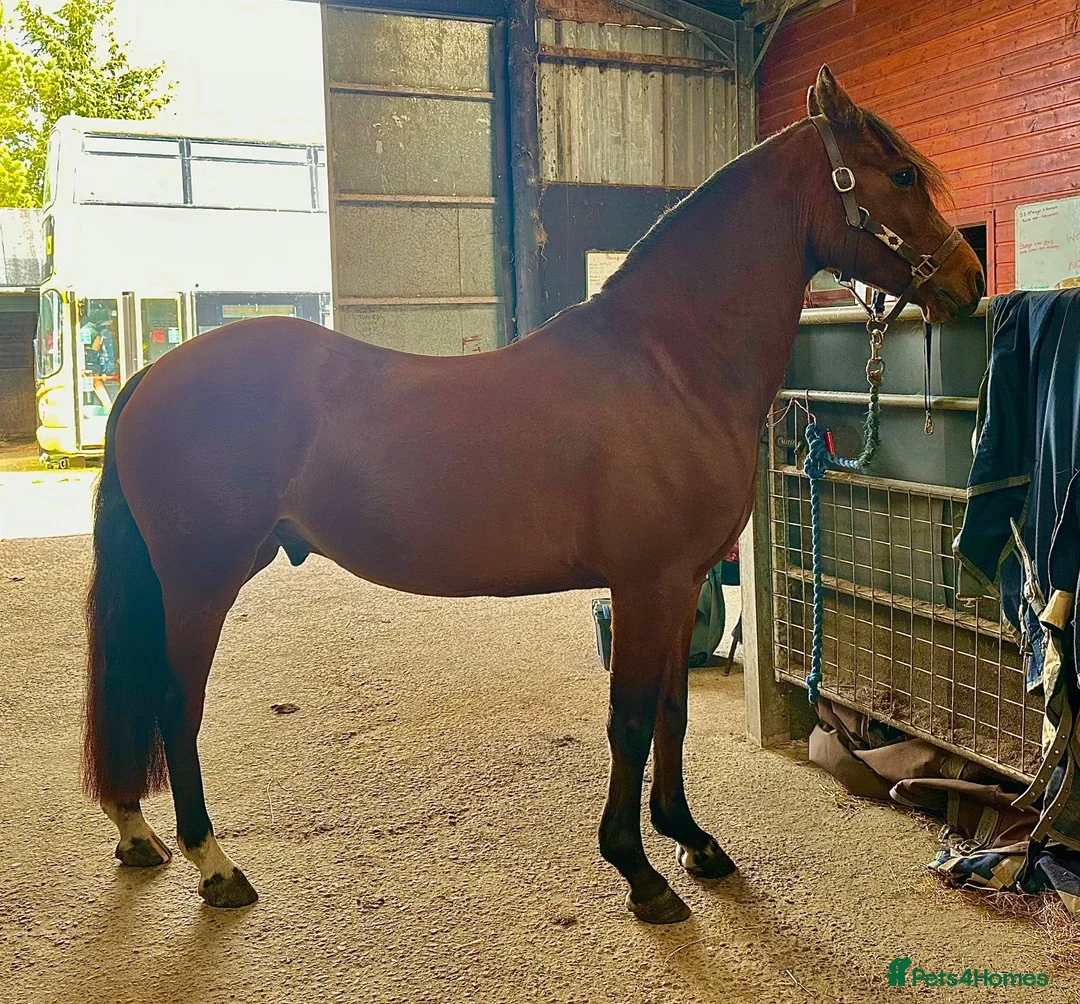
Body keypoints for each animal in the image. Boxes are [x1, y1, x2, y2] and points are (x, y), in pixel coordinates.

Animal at [83, 66, 984, 924]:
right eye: (902, 173)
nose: (970, 280)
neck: (671, 362)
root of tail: (152, 375)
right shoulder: (646, 584)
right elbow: (630, 719)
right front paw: (639, 872)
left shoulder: (682, 582)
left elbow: (673, 712)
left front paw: (691, 839)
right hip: (201, 582)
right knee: (175, 705)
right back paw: (215, 866)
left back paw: (138, 833)